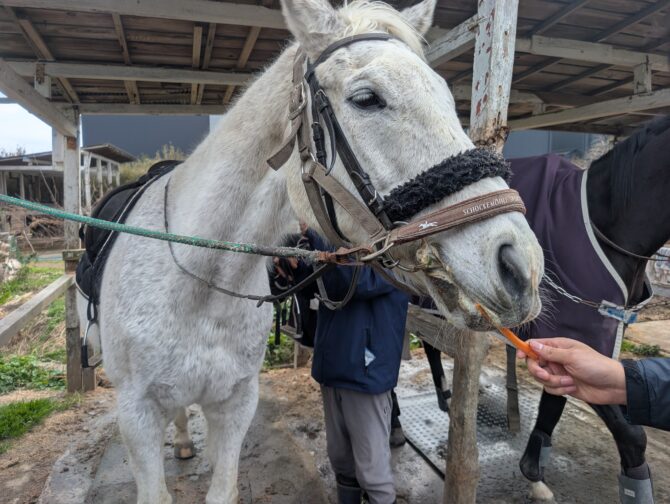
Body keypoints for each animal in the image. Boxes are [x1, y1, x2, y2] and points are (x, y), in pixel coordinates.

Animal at [77, 0, 543, 502]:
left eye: (444, 93)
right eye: (367, 98)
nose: (520, 266)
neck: (198, 287)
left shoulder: (236, 404)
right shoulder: (136, 416)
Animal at [418, 115, 670, 503]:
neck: (604, 226)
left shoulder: (573, 341)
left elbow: (555, 401)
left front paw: (534, 467)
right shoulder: (580, 336)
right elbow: (632, 435)